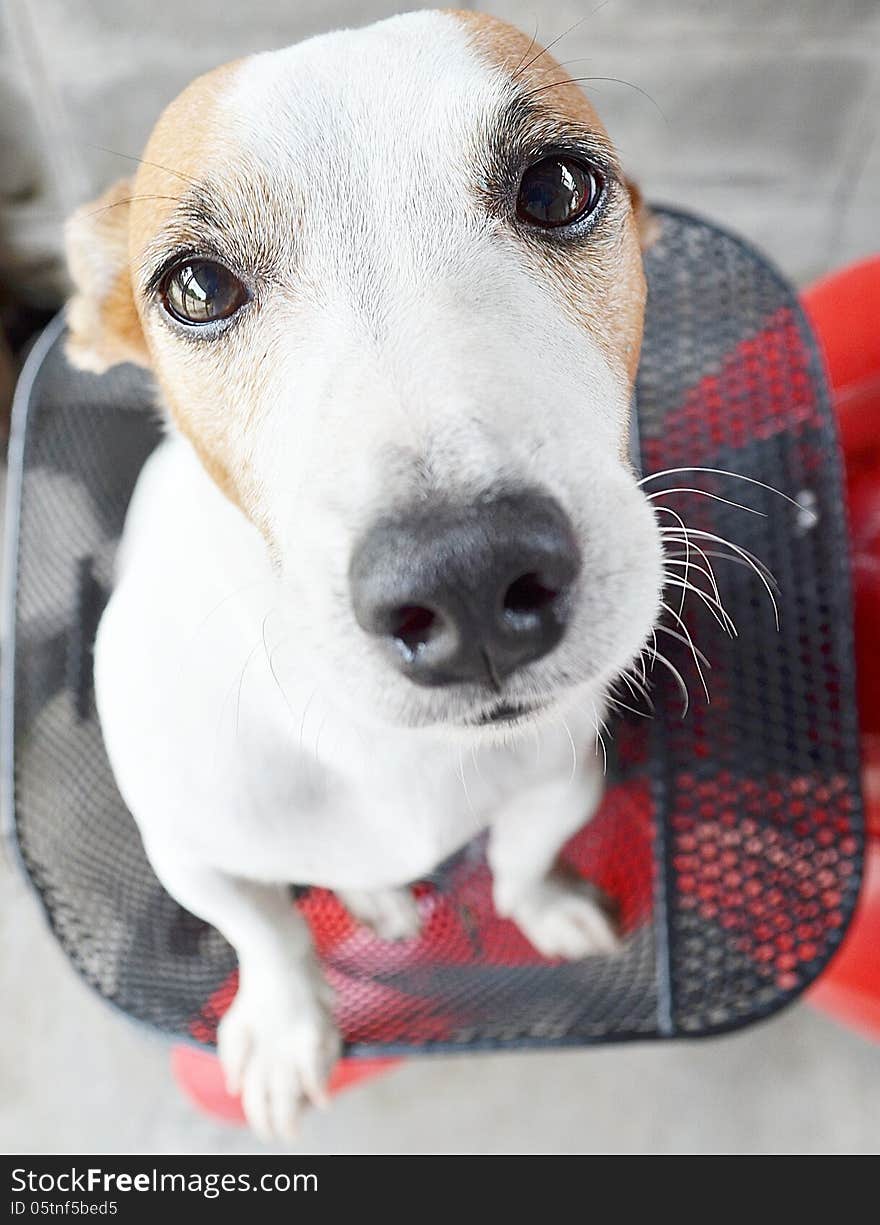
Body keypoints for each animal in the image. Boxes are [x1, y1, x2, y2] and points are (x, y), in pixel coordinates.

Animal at [63, 11, 661, 1136]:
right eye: (196, 287)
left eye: (559, 187)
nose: (470, 576)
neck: (385, 749)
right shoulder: (191, 852)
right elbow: (268, 933)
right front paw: (287, 1024)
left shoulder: (560, 777)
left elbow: (518, 857)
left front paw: (547, 905)